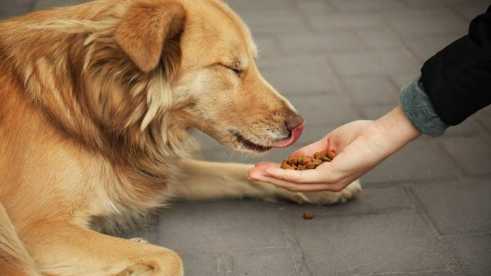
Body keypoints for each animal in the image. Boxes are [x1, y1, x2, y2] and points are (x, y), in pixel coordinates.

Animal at [0, 1, 362, 274]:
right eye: (233, 67)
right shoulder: (37, 228)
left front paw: (319, 187)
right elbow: (168, 256)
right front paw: (136, 264)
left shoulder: (154, 173)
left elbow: (238, 173)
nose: (298, 124)